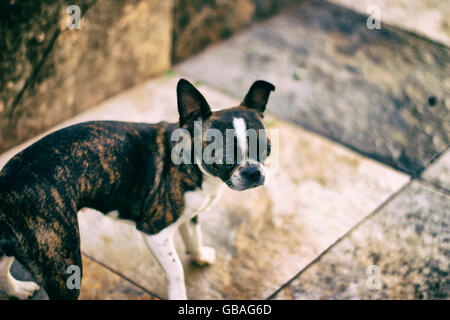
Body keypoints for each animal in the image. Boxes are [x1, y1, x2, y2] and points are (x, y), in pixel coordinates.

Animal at [0, 79, 274, 298]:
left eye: (266, 147)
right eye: (224, 155)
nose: (253, 172)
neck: (195, 166)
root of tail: (6, 181)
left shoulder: (190, 213)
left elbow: (194, 235)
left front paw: (199, 256)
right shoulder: (154, 231)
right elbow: (176, 269)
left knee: (2, 266)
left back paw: (17, 290)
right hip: (63, 262)